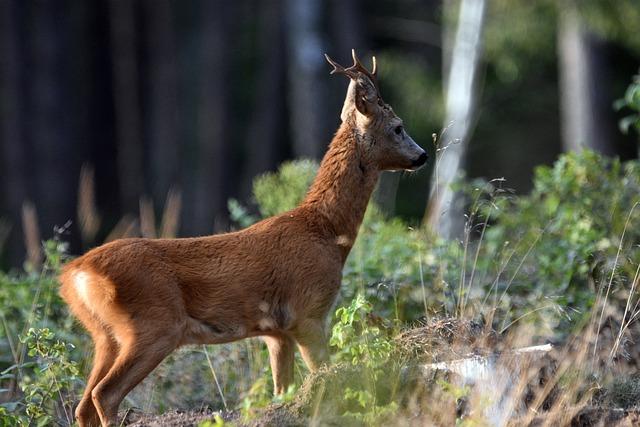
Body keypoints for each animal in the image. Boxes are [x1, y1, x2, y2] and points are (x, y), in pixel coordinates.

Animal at [60, 49, 428, 424]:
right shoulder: (308, 312)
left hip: (104, 335)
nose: (423, 155)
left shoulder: (276, 332)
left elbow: (282, 392)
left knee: (84, 403)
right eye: (398, 127)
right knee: (105, 395)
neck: (325, 231)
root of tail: (75, 273)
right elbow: (327, 378)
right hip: (153, 326)